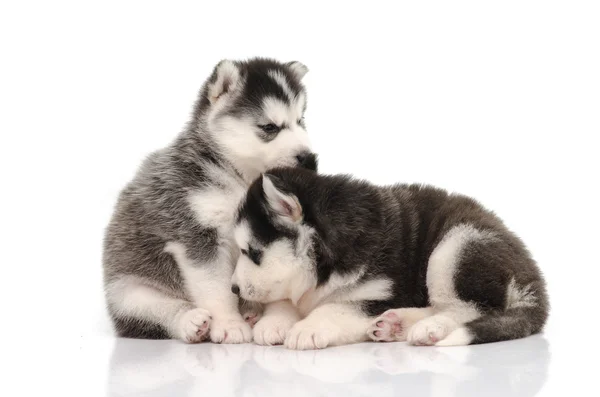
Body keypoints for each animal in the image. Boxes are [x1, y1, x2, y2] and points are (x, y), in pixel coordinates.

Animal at [103, 57, 318, 342]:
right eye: (270, 127)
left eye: (300, 120)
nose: (310, 159)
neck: (240, 178)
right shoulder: (198, 235)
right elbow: (216, 288)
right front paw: (228, 324)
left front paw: (277, 321)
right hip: (128, 292)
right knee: (156, 311)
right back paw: (192, 322)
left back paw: (251, 313)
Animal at [230, 166, 548, 346]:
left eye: (252, 252)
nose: (232, 288)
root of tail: (534, 279)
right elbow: (282, 301)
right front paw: (273, 323)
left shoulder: (384, 292)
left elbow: (335, 308)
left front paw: (307, 328)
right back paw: (396, 325)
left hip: (454, 248)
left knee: (473, 308)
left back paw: (430, 327)